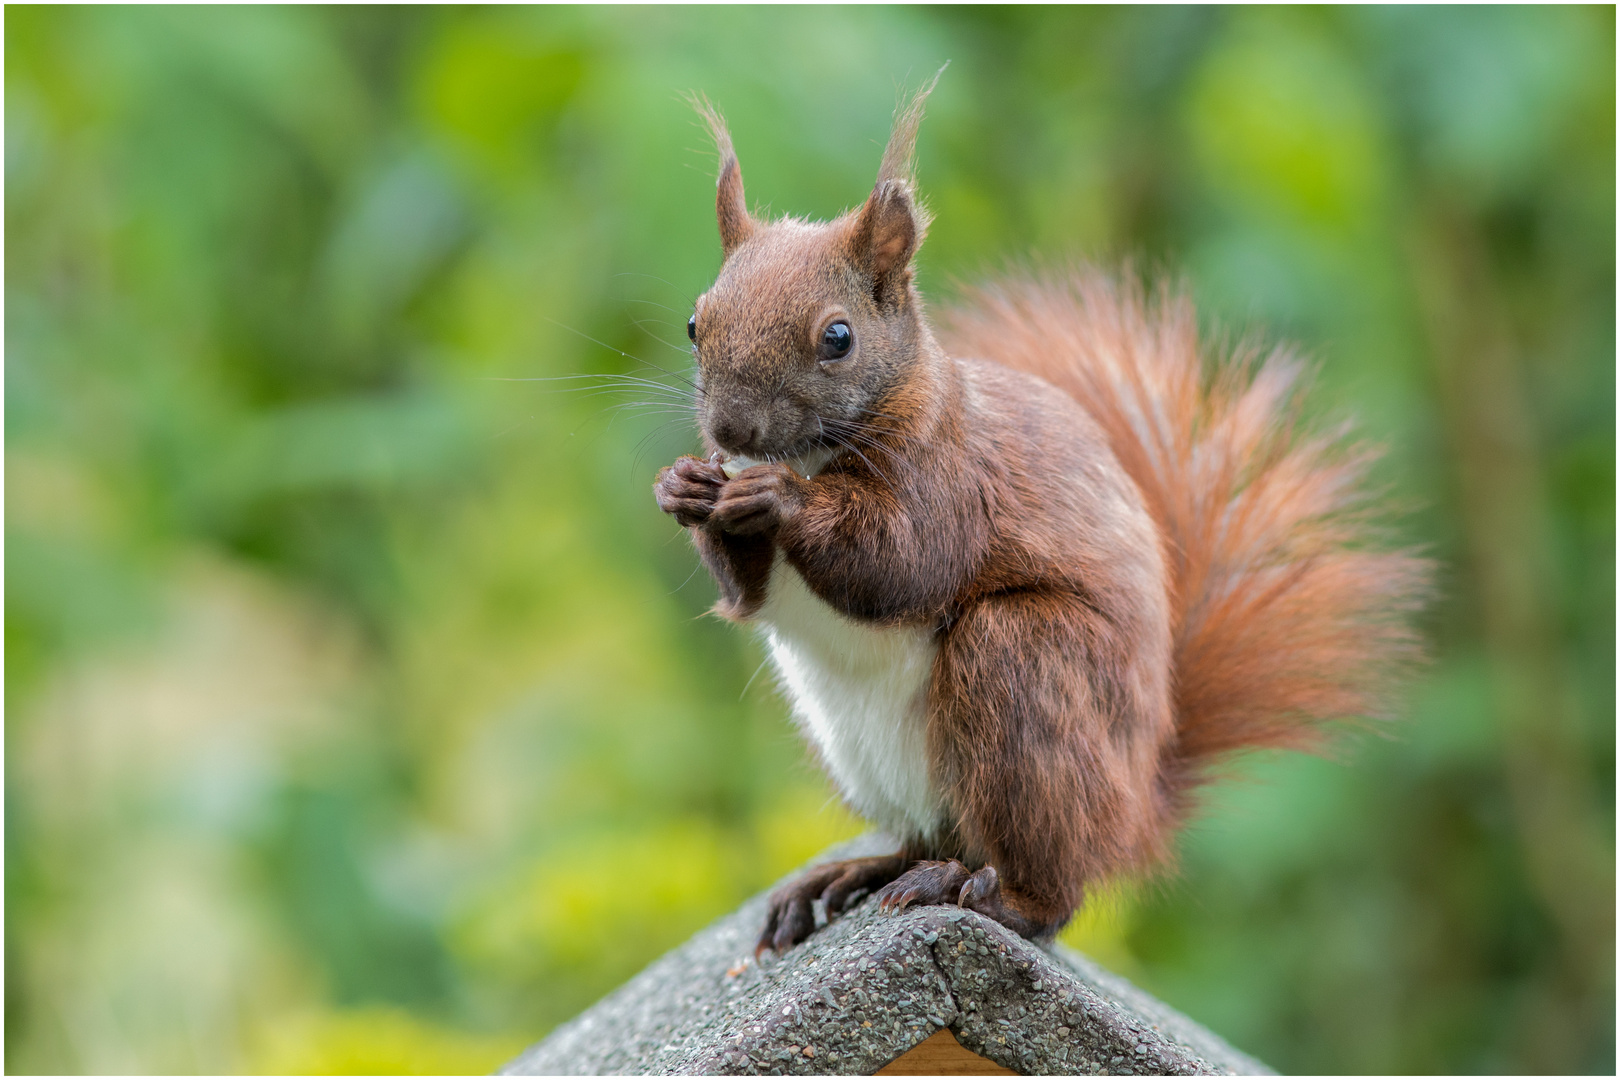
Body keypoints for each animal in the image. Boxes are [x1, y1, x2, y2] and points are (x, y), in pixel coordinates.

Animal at [651, 78, 1425, 952]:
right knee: (933, 835)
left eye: (838, 338)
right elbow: (749, 597)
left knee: (1049, 885)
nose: (731, 432)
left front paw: (776, 497)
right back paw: (857, 874)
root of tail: (1134, 809)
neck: (821, 453)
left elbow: (900, 562)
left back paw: (991, 895)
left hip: (1025, 668)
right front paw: (684, 490)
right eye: (694, 322)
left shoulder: (952, 480)